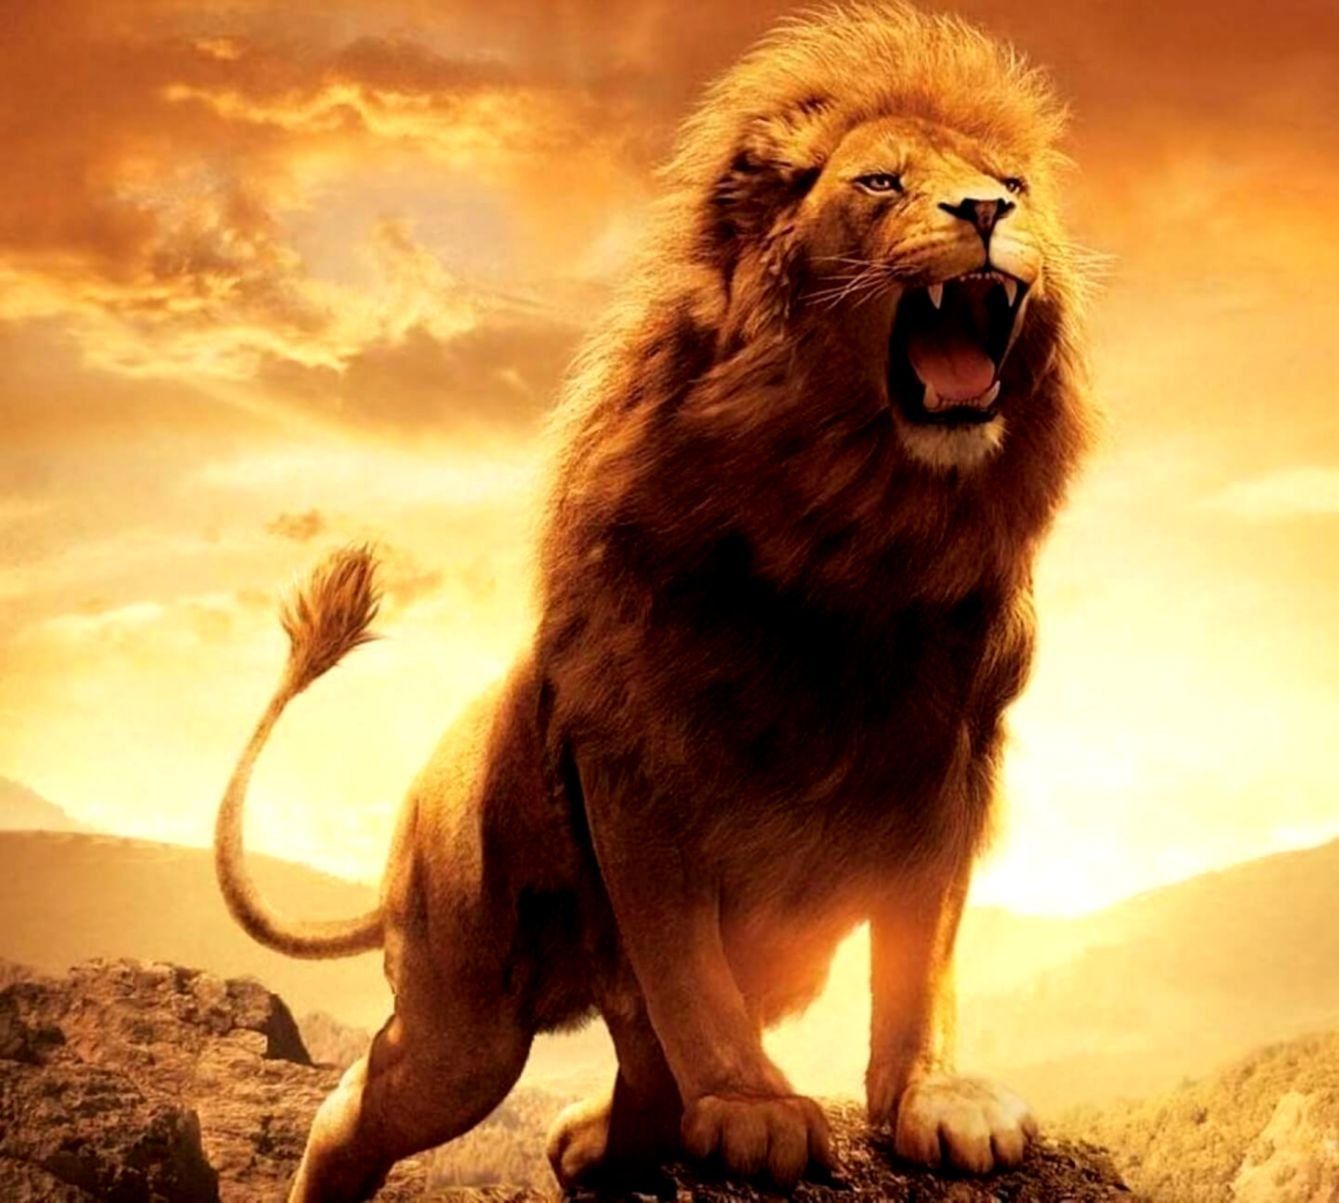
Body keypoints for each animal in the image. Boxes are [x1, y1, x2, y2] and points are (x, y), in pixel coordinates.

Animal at [214, 4, 1093, 1199]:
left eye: (1011, 180)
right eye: (881, 182)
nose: (987, 212)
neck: (860, 530)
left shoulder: (950, 758)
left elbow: (923, 953)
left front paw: (935, 1099)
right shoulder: (636, 761)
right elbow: (684, 964)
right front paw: (754, 1107)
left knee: (628, 1068)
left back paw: (594, 1142)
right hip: (463, 1014)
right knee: (368, 1101)